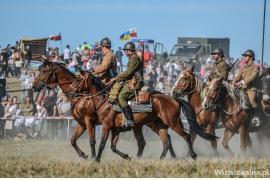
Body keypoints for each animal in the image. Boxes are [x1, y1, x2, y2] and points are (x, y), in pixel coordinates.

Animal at [32, 60, 217, 162]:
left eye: (44, 70)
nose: (34, 86)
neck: (99, 100)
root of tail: (172, 98)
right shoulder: (89, 125)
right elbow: (75, 140)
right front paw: (85, 156)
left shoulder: (97, 123)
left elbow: (97, 142)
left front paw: (94, 158)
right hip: (154, 125)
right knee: (164, 140)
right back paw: (161, 158)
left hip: (173, 123)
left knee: (186, 136)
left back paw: (192, 155)